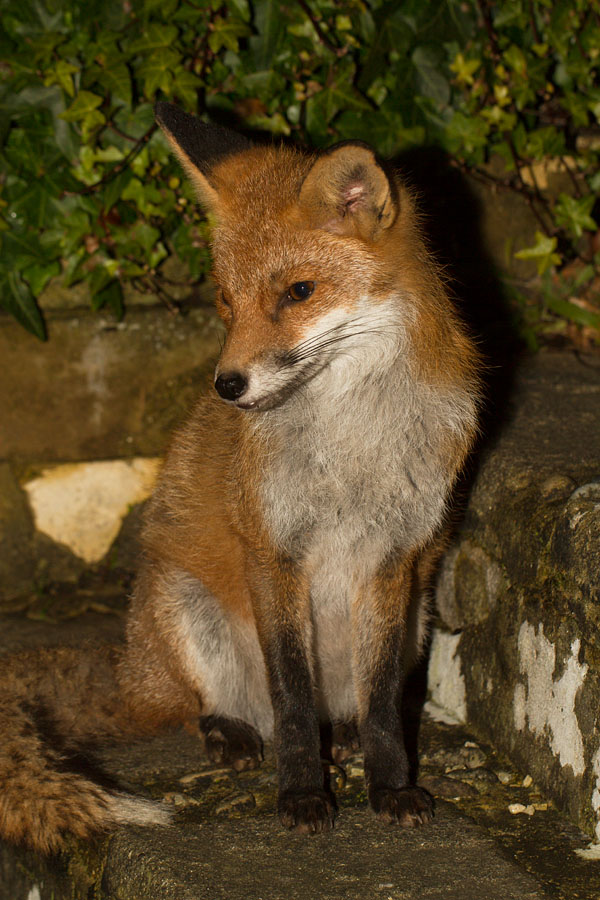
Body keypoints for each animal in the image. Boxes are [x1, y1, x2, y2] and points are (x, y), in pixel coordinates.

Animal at [0, 102, 480, 853]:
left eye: (299, 292)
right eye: (225, 301)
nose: (226, 387)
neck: (350, 443)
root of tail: (133, 669)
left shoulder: (391, 558)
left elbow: (379, 707)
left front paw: (391, 788)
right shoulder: (272, 549)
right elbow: (290, 702)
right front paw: (303, 795)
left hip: (419, 620)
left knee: (348, 706)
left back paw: (342, 735)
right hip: (186, 607)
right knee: (214, 709)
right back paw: (229, 734)